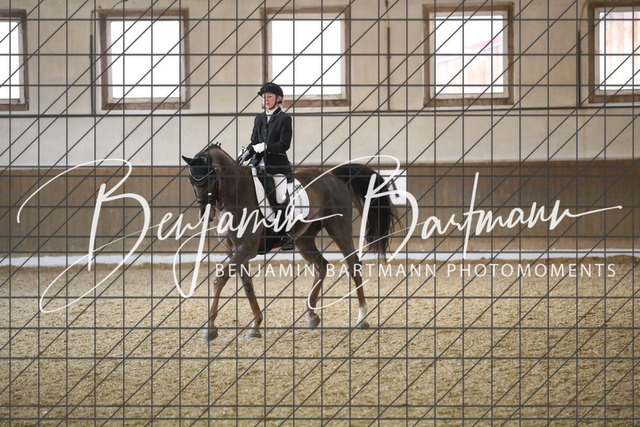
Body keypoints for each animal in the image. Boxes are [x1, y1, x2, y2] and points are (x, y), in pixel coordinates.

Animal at [182, 143, 396, 341]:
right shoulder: (235, 251)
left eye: (211, 178)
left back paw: (362, 319)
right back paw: (311, 316)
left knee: (353, 265)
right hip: (304, 239)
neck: (236, 193)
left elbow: (219, 279)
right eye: (192, 181)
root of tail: (331, 175)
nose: (205, 213)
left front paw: (209, 330)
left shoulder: (245, 249)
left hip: (339, 229)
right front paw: (255, 326)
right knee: (321, 266)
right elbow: (247, 285)